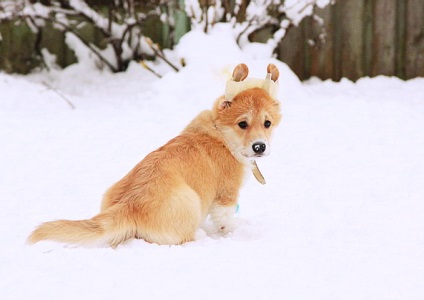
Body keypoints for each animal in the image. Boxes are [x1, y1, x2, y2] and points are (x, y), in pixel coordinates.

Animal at [29, 62, 282, 246]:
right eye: (242, 124)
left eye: (267, 123)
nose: (259, 147)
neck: (221, 135)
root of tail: (128, 206)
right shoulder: (226, 196)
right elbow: (225, 221)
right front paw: (232, 233)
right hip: (190, 201)